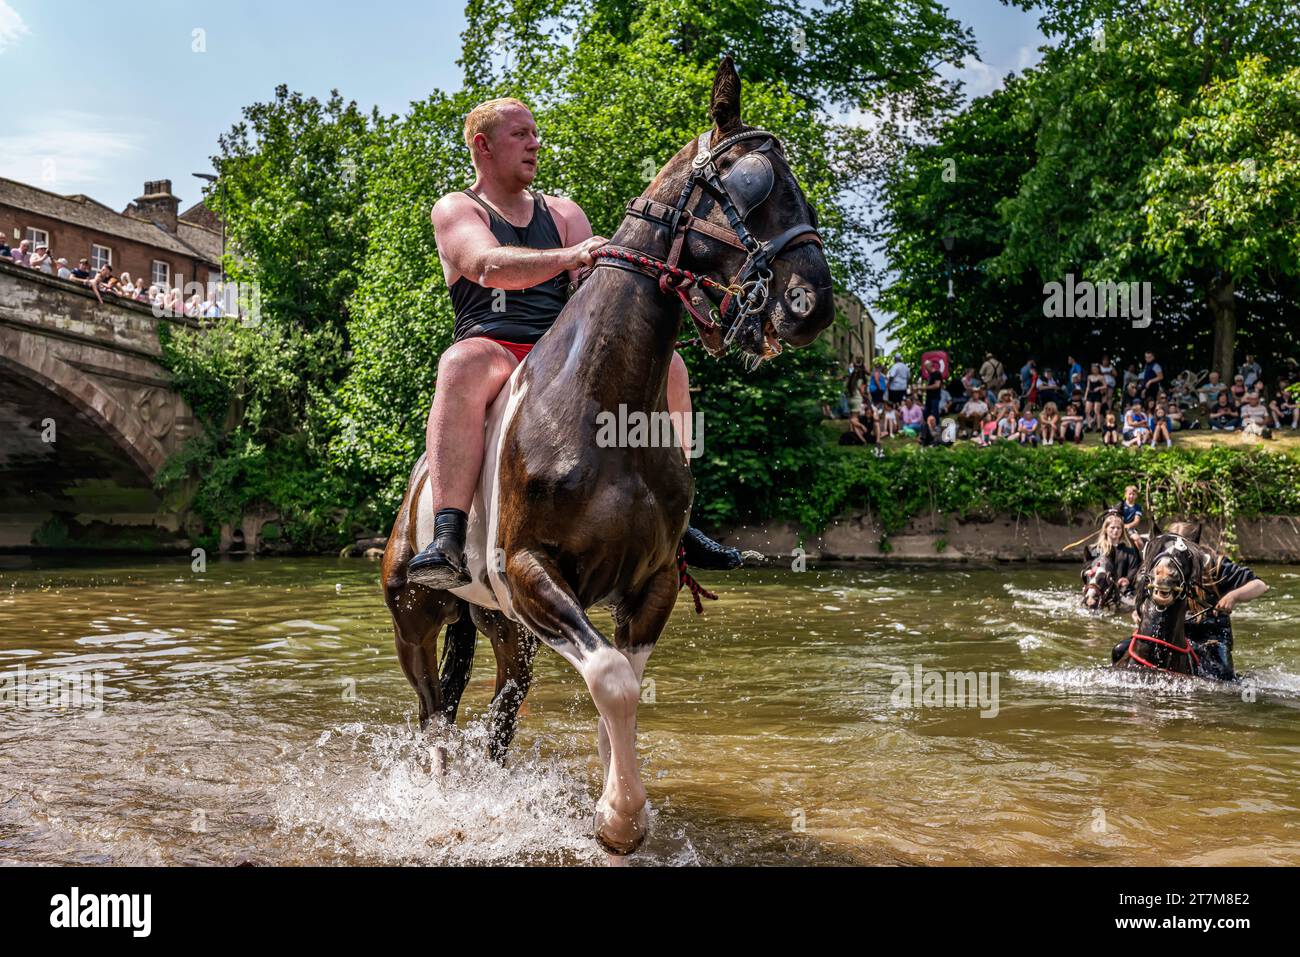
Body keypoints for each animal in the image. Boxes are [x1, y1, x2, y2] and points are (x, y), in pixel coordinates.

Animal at [379, 57, 837, 852]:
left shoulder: (649, 580)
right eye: (753, 186)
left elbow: (622, 683)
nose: (813, 302)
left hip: (506, 631)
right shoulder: (533, 571)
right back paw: (440, 796)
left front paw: (617, 798)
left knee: (501, 709)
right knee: (433, 712)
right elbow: (613, 682)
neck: (603, 404)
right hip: (416, 616)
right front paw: (620, 817)